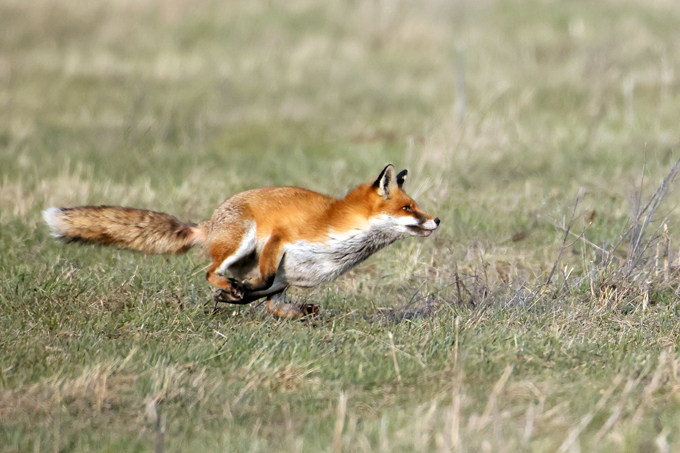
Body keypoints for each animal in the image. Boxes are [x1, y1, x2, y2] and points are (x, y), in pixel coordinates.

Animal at [43, 164, 440, 318]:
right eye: (408, 207)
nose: (437, 219)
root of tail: (208, 222)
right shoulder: (279, 237)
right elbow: (260, 281)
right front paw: (232, 295)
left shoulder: (291, 277)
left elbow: (267, 298)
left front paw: (241, 298)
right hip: (242, 240)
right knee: (210, 271)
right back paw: (228, 289)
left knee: (266, 299)